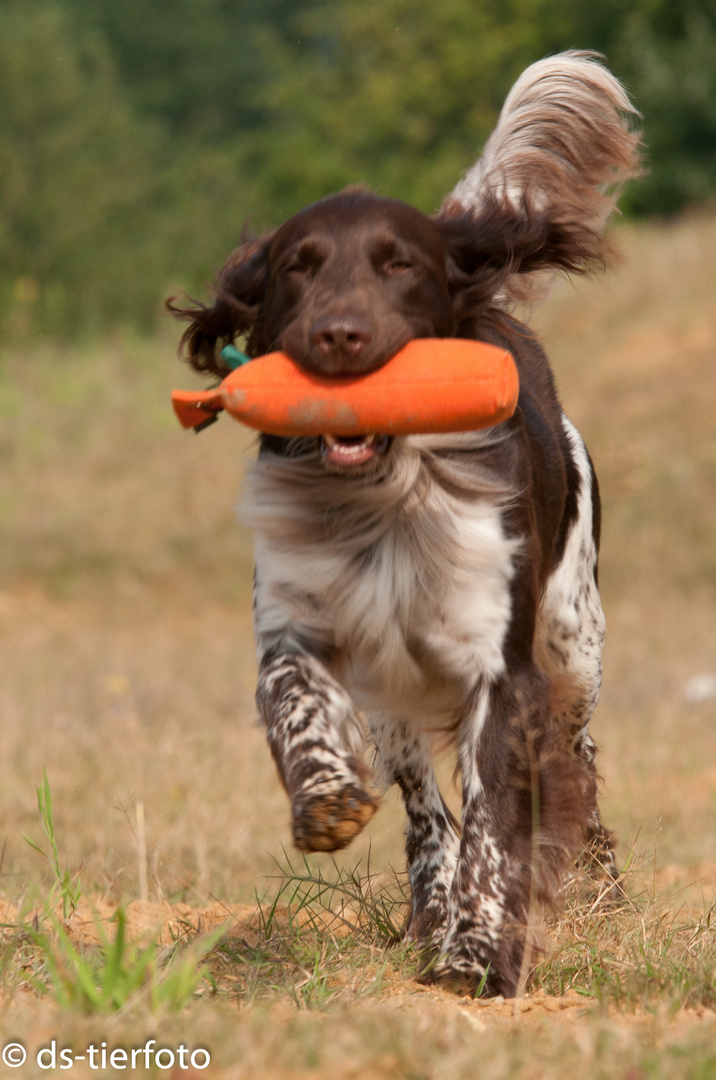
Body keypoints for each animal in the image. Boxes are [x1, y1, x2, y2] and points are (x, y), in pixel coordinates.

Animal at [170, 50, 639, 993]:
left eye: (399, 265)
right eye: (297, 267)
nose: (339, 335)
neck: (384, 499)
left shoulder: (503, 667)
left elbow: (500, 818)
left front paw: (480, 955)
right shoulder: (303, 625)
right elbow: (299, 705)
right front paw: (326, 800)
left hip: (576, 639)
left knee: (577, 755)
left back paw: (593, 888)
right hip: (397, 691)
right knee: (425, 801)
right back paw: (428, 904)